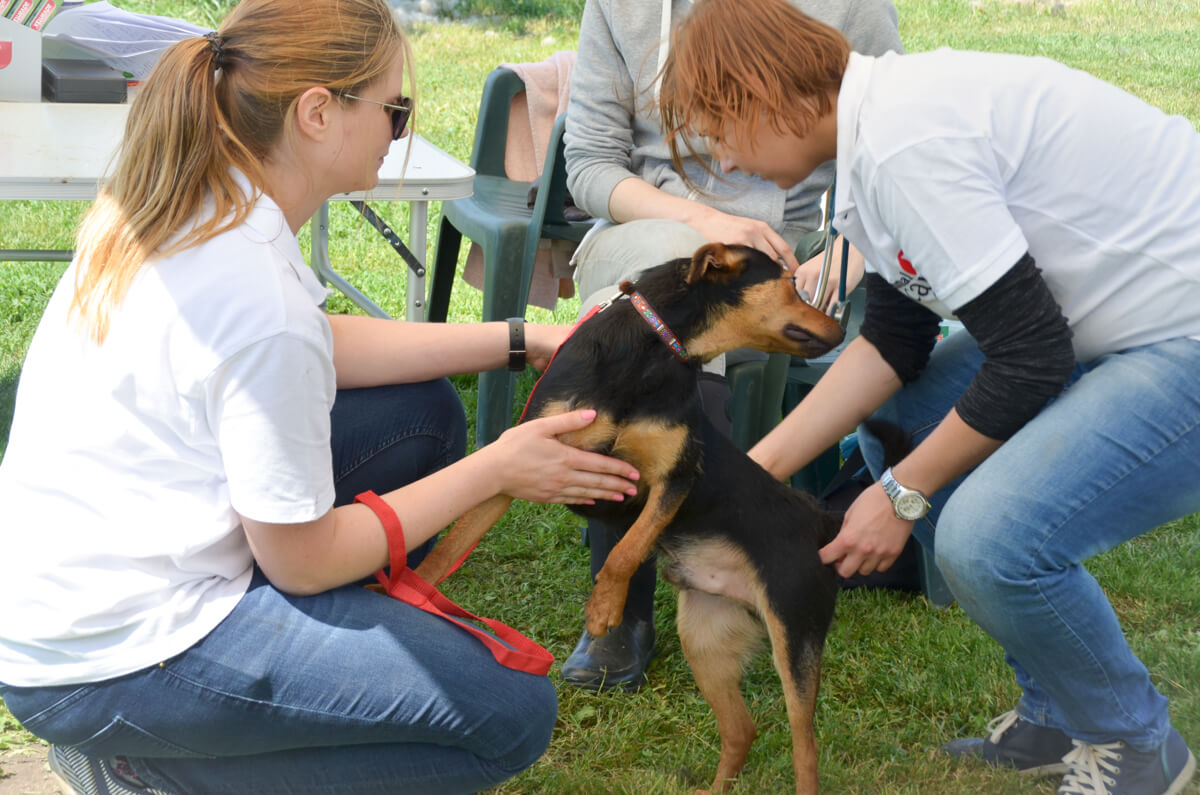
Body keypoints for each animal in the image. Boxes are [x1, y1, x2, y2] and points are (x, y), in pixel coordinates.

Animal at [416, 242, 847, 794]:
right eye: (793, 284)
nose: (842, 327)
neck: (654, 352)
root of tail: (820, 523)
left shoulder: (674, 478)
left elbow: (628, 549)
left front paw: (604, 608)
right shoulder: (518, 461)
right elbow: (453, 542)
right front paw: (411, 590)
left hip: (794, 635)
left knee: (804, 751)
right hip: (706, 639)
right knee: (741, 730)